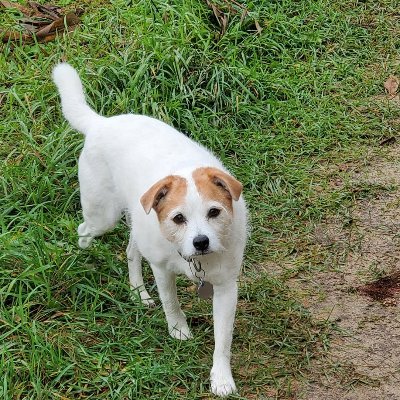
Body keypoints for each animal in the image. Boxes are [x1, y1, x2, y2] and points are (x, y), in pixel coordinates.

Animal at [52, 63, 247, 396]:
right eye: (178, 218)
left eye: (214, 212)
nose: (201, 242)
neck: (195, 263)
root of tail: (100, 123)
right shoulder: (162, 268)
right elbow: (171, 303)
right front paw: (179, 330)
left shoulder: (225, 288)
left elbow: (223, 340)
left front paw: (221, 377)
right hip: (103, 216)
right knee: (85, 229)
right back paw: (82, 251)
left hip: (135, 224)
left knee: (131, 251)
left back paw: (138, 293)